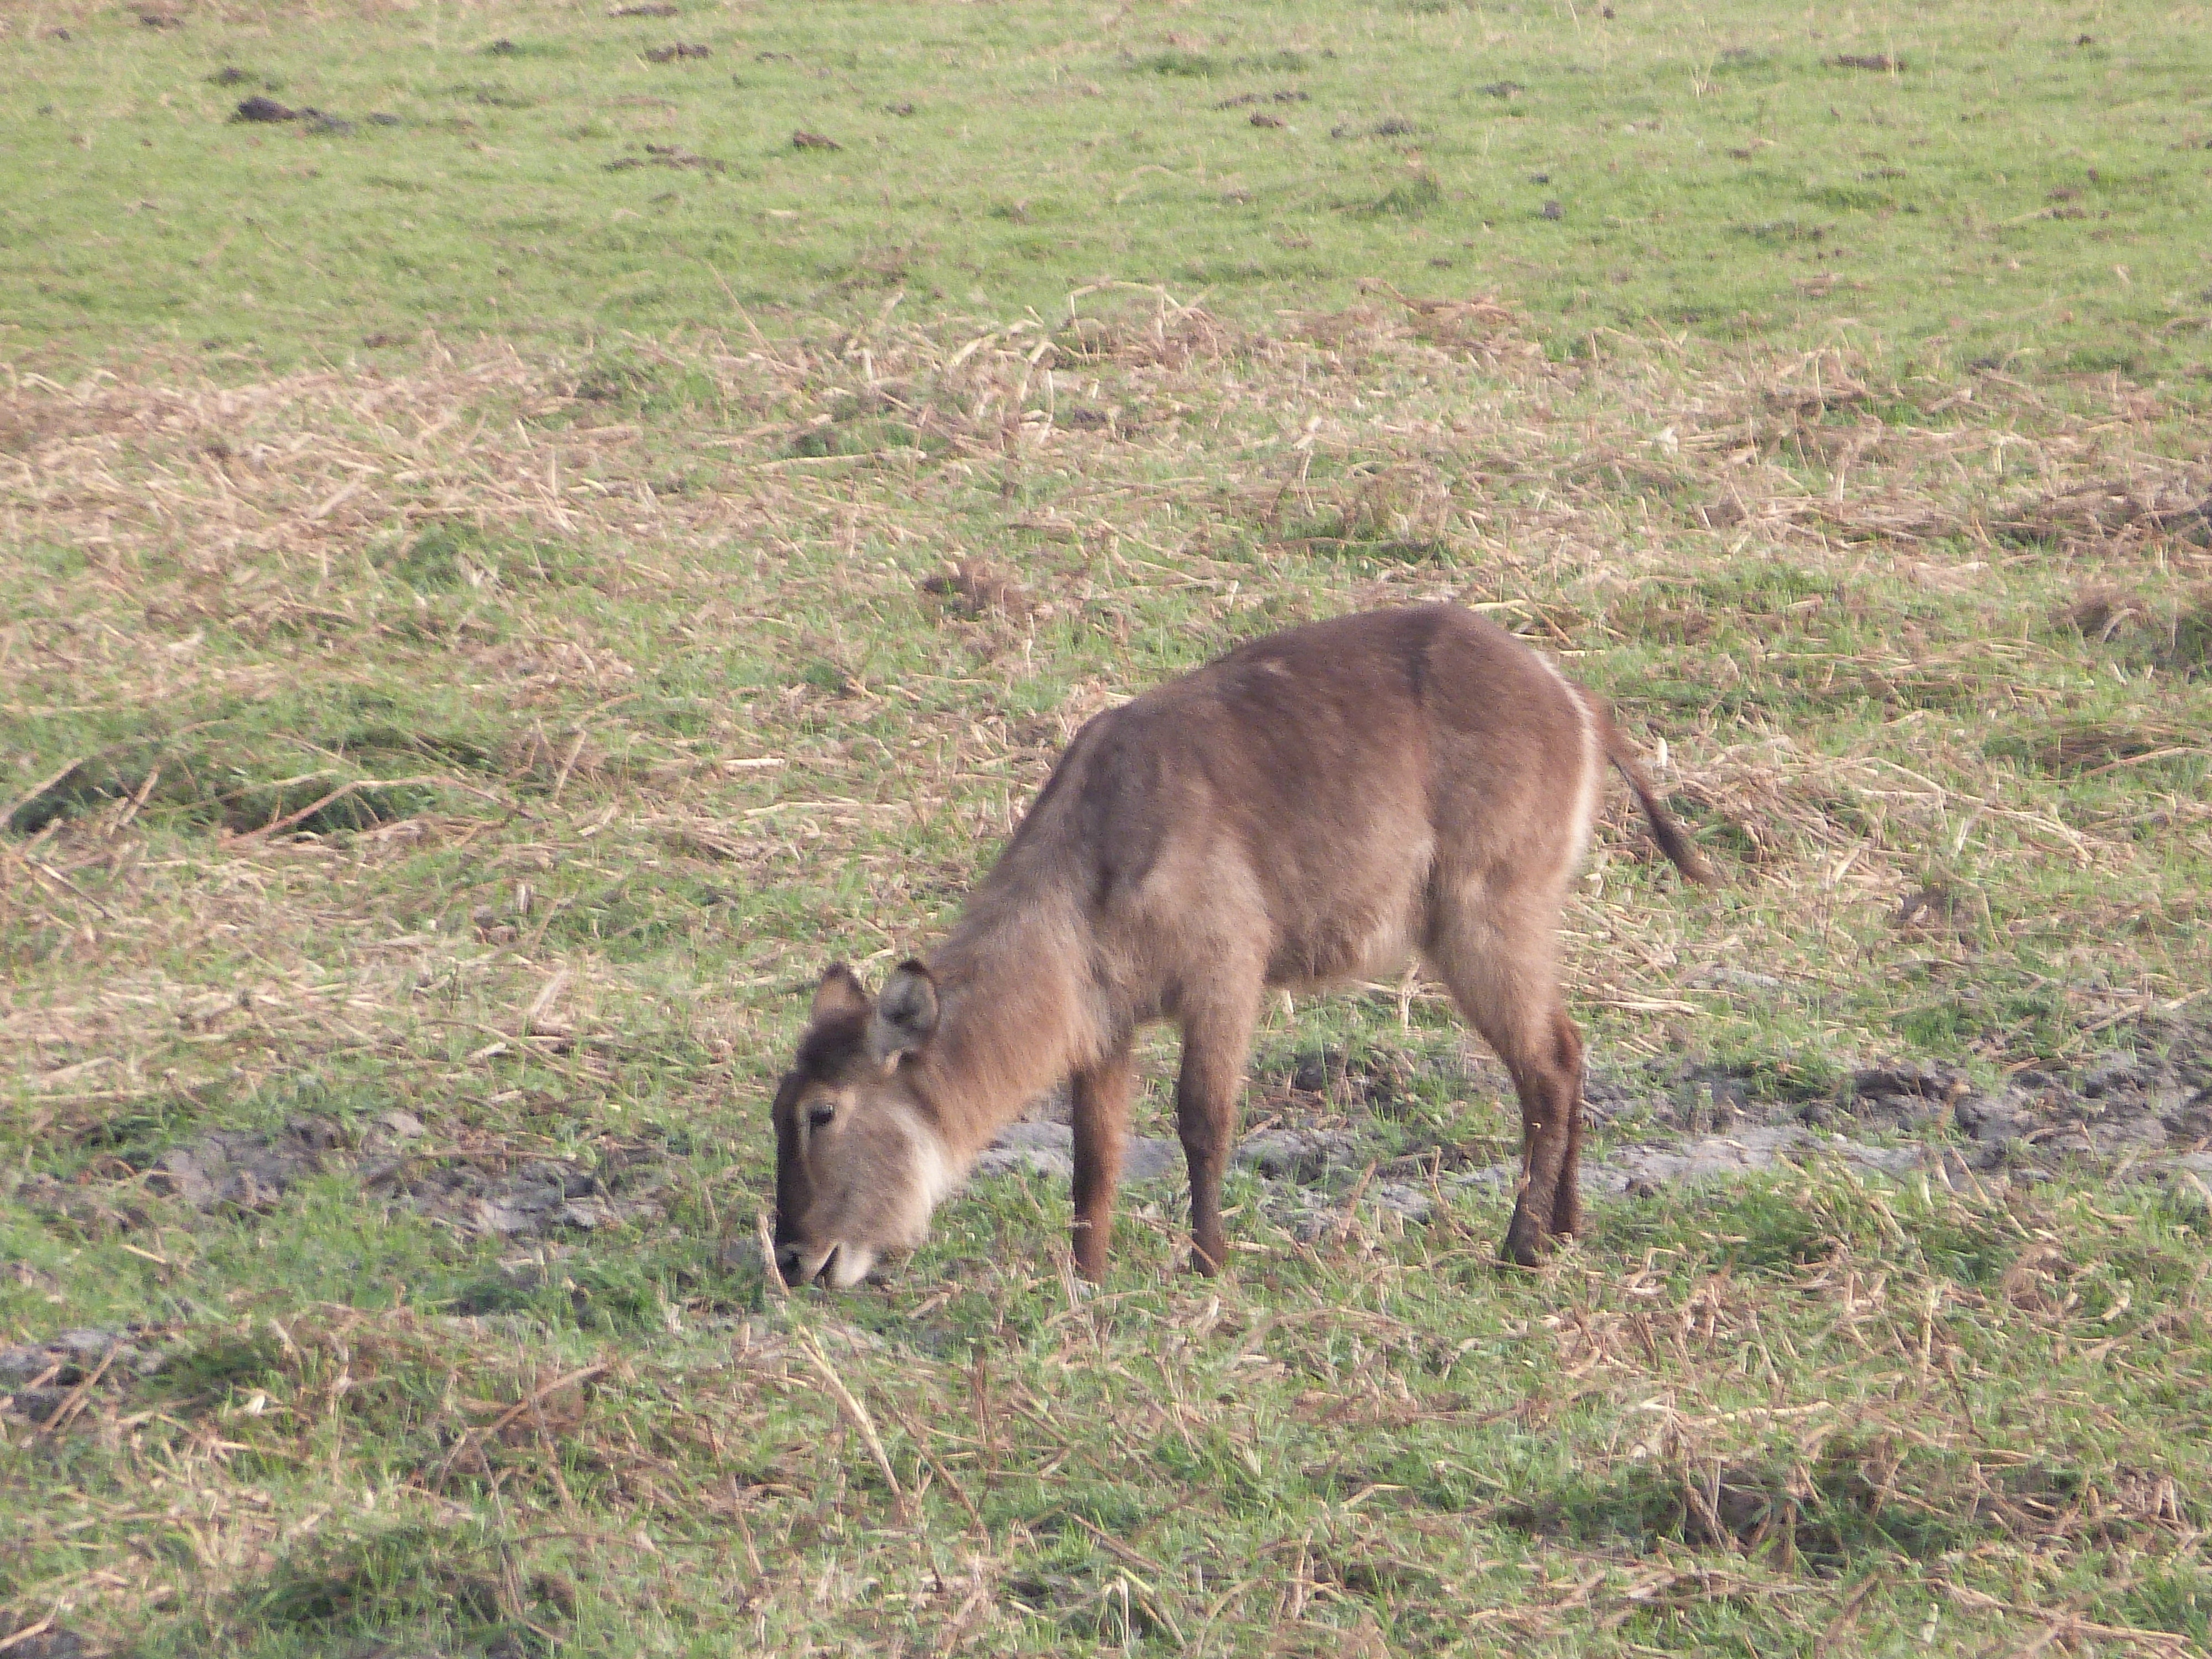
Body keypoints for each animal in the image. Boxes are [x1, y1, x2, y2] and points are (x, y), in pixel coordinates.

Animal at [770, 606, 1717, 1292]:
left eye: (823, 1113)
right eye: (780, 1108)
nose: (793, 1259)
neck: (1097, 846)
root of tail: (1576, 698)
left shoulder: (1225, 978)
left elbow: (1203, 1120)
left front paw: (1208, 1264)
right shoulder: (1105, 1025)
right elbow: (1094, 1157)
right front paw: (1088, 1277)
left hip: (1484, 920)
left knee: (1547, 1069)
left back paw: (1520, 1249)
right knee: (1569, 1050)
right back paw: (1566, 1230)